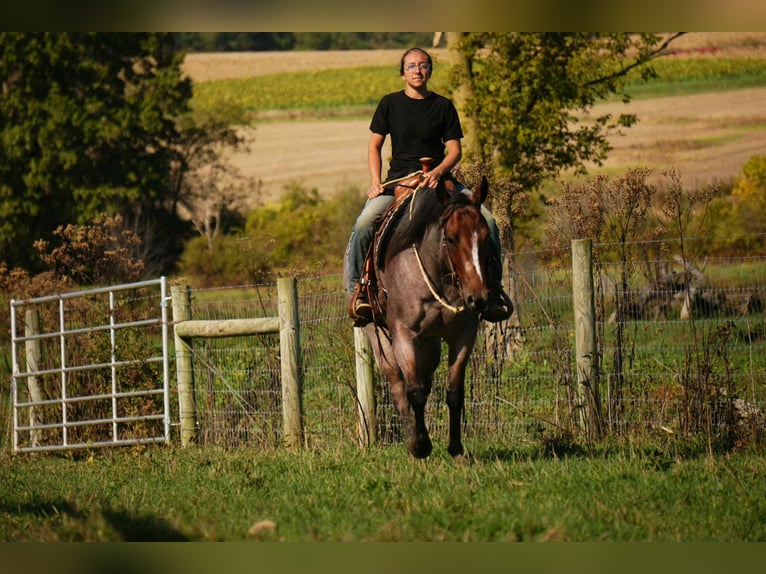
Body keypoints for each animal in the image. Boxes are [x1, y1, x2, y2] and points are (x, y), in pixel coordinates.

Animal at [345, 174, 495, 458]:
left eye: (485, 237)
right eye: (450, 238)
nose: (479, 297)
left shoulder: (464, 334)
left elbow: (454, 391)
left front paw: (456, 447)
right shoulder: (404, 333)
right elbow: (413, 391)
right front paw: (421, 445)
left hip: (430, 343)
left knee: (426, 379)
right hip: (377, 333)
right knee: (397, 383)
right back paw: (412, 439)